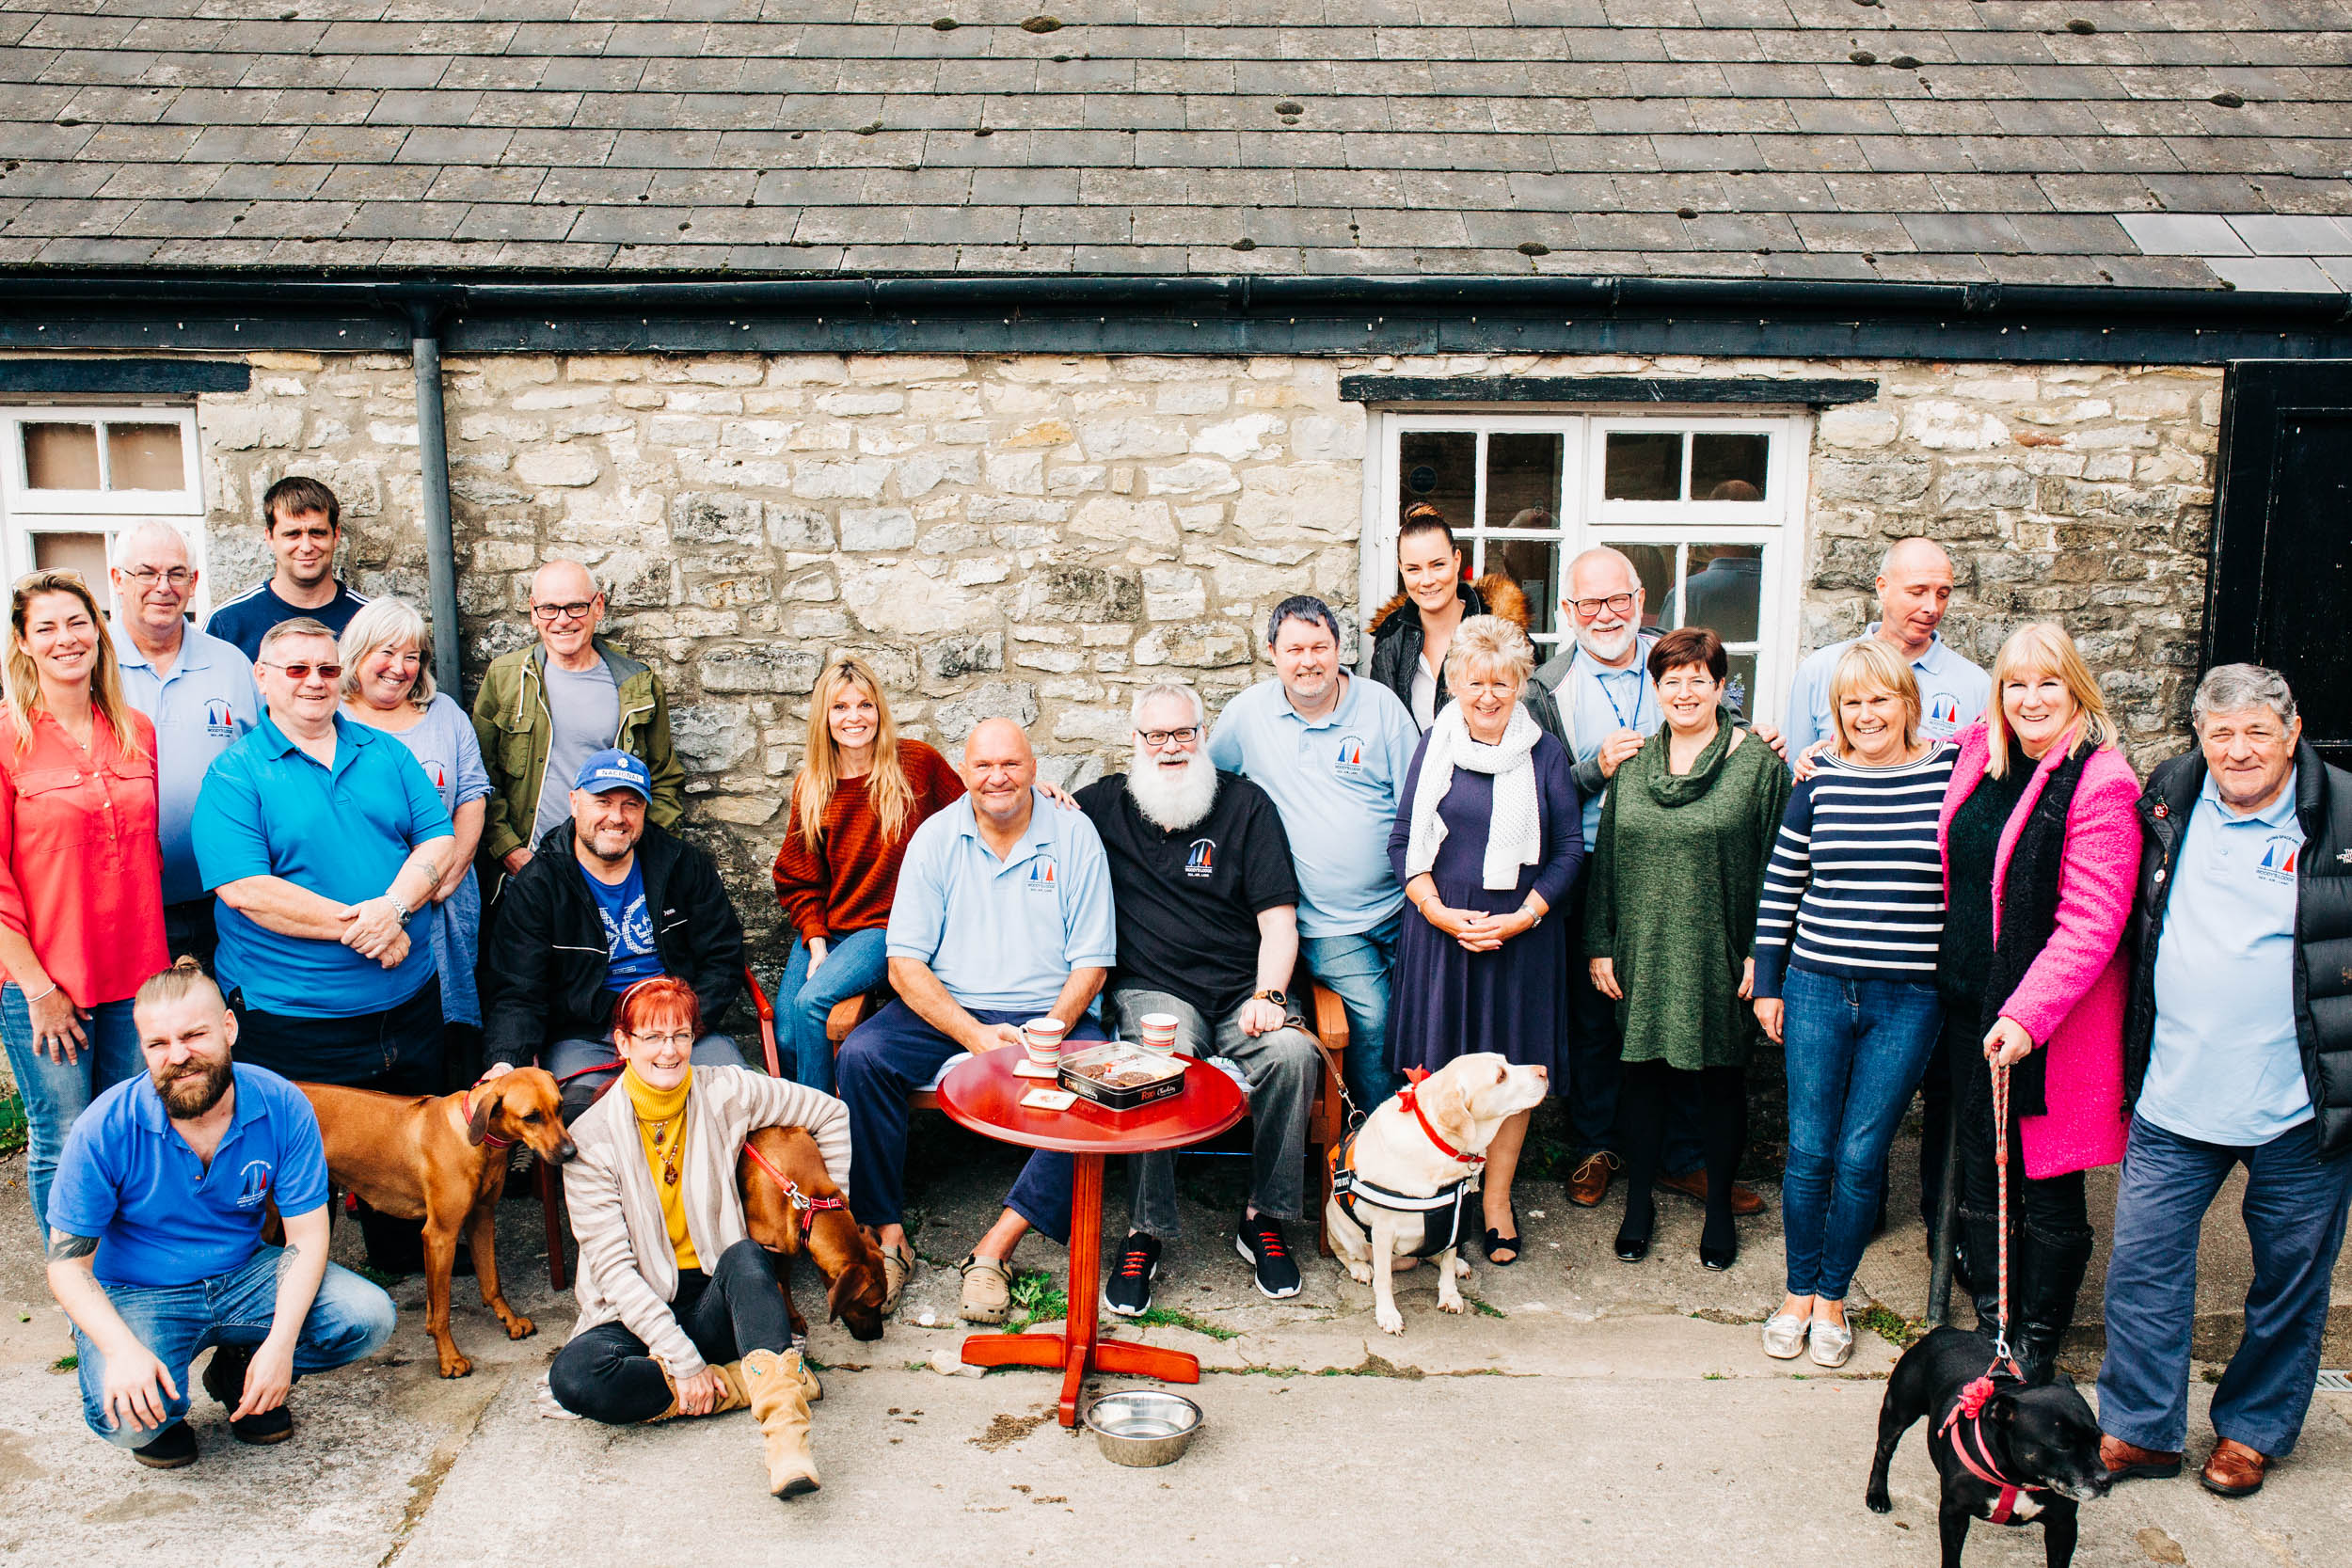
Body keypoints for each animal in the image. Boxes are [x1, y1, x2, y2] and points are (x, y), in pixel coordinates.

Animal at [303, 1071, 579, 1382]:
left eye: (560, 1107)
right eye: (531, 1117)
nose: (571, 1152)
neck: (473, 1138)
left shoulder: (481, 1218)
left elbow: (490, 1283)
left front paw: (509, 1320)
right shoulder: (441, 1235)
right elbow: (443, 1310)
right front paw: (449, 1359)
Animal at [739, 1123, 884, 1344]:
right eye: (871, 1306)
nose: (879, 1335)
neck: (811, 1205)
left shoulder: (789, 1246)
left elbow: (783, 1281)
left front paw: (792, 1318)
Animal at [1872, 1325, 2117, 1568]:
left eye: (2098, 1438)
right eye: (2062, 1446)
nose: (2106, 1480)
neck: (2017, 1479)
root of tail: (1943, 1330)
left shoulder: (2063, 1526)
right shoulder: (1954, 1514)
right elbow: (1951, 1557)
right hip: (1898, 1413)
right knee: (1883, 1453)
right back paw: (1877, 1495)